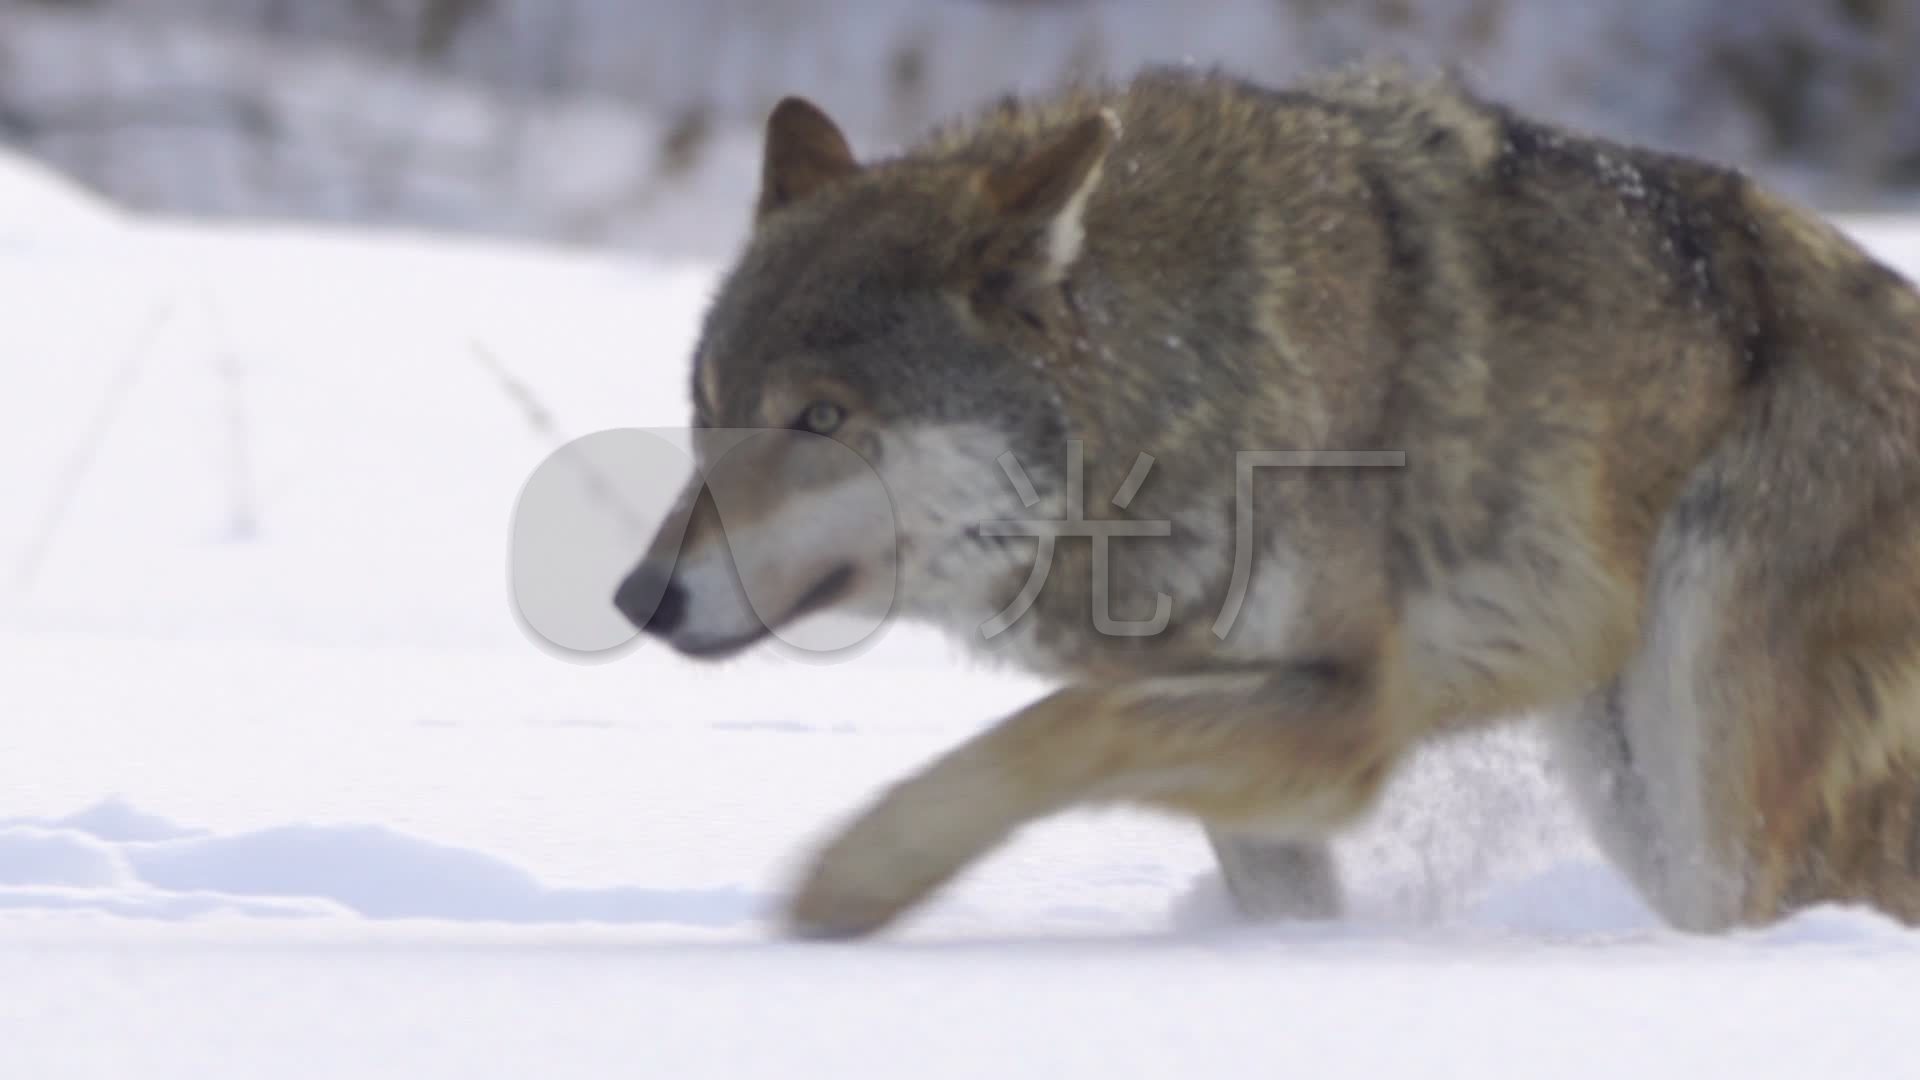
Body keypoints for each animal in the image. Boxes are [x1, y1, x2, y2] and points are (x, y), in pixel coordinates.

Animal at [610, 65, 1920, 933]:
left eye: (822, 419)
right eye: (708, 406)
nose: (639, 597)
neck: (1180, 383)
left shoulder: (1348, 714)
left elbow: (1059, 726)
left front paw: (859, 878)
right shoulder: (1263, 760)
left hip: (1706, 801)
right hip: (1630, 780)